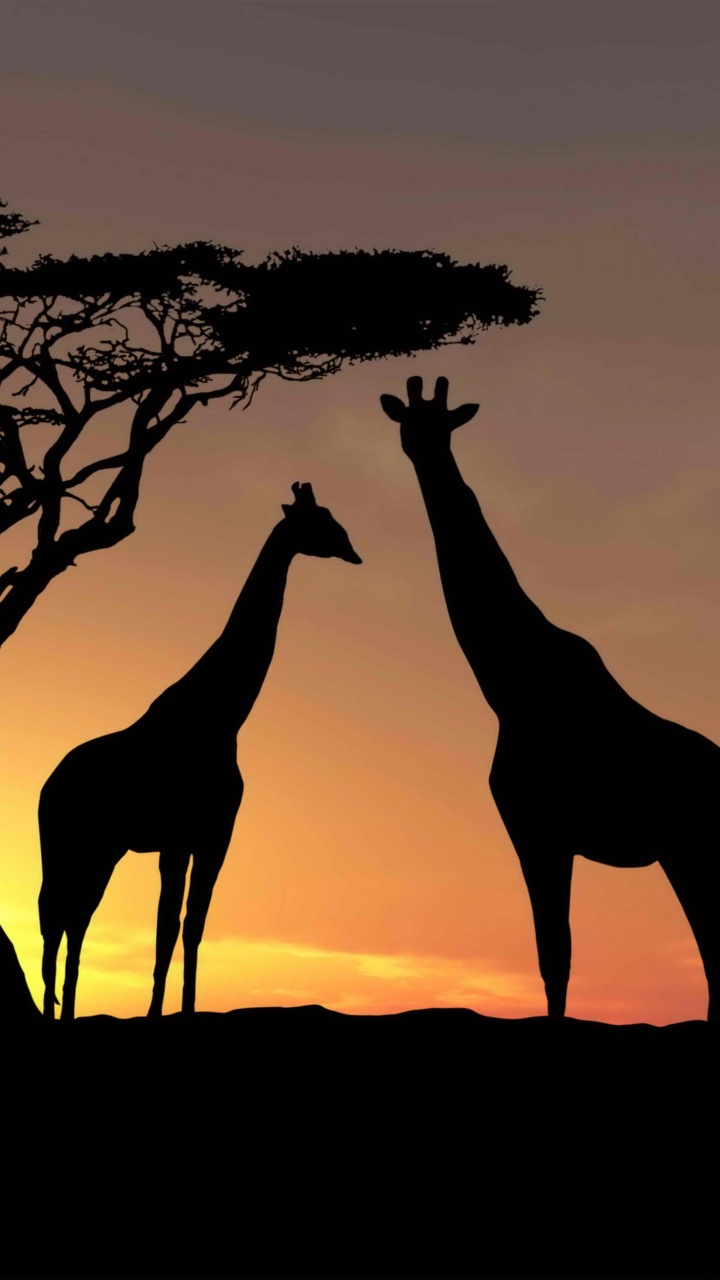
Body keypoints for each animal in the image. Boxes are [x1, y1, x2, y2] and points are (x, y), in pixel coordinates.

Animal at [38, 482, 361, 1021]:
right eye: (320, 522)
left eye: (334, 519)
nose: (354, 552)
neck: (222, 717)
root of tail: (47, 786)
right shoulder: (177, 837)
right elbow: (167, 926)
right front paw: (154, 1013)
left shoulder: (213, 834)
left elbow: (193, 925)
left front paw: (185, 1010)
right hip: (70, 842)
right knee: (57, 914)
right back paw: (55, 1011)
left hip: (102, 849)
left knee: (73, 916)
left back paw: (64, 1010)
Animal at [381, 375, 720, 1022]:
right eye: (408, 423)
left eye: (445, 426)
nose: (422, 453)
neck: (511, 685)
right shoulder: (536, 830)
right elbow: (551, 956)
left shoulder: (540, 828)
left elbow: (554, 955)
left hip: (692, 849)